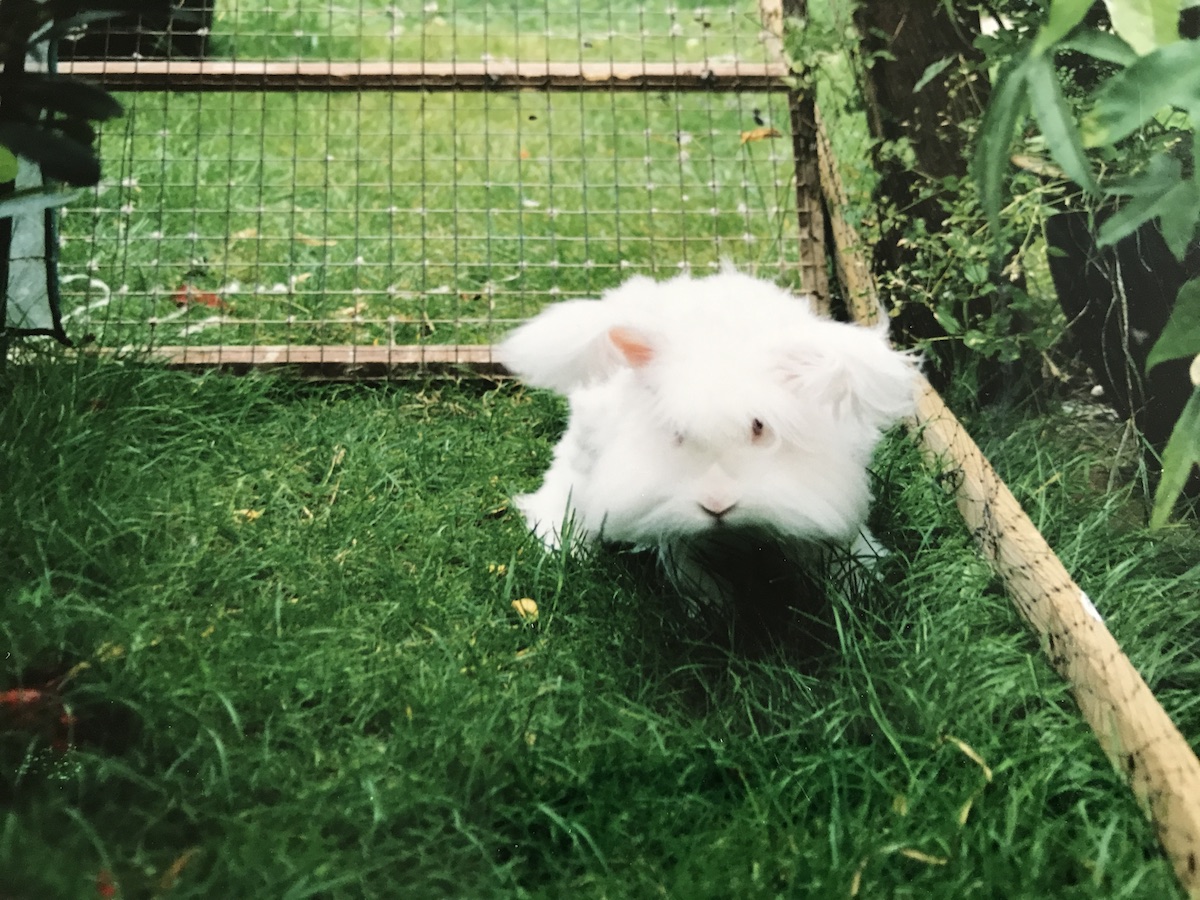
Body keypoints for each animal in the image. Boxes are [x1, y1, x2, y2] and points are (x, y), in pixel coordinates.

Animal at [498, 266, 920, 606]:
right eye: (675, 431)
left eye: (759, 426)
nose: (717, 504)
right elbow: (693, 576)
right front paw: (713, 612)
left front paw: (860, 587)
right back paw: (561, 542)